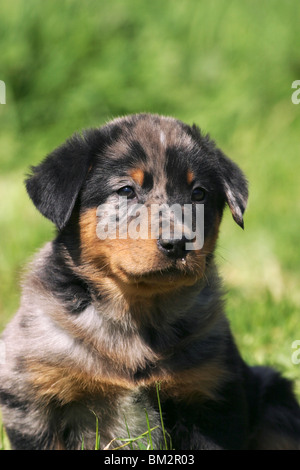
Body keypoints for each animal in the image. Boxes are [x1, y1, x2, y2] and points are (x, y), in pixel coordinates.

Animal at [0, 113, 300, 448]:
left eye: (199, 194)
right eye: (126, 191)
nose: (178, 243)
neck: (138, 314)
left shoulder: (210, 394)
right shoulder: (32, 400)